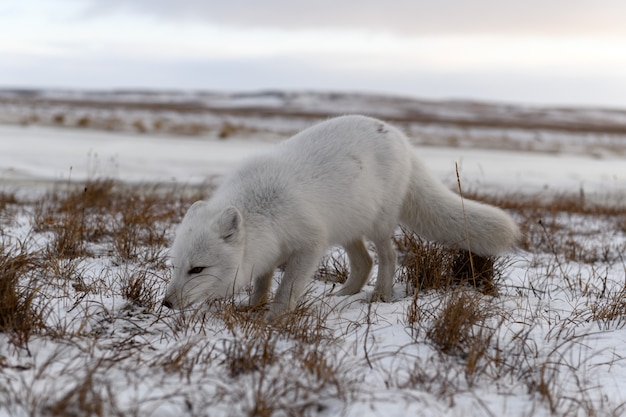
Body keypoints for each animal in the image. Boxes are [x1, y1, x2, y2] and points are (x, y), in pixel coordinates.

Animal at [161, 114, 516, 316]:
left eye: (197, 269)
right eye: (175, 266)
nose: (166, 303)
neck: (263, 210)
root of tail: (401, 137)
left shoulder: (310, 244)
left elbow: (286, 289)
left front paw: (274, 319)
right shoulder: (267, 251)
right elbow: (262, 283)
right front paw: (252, 307)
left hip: (377, 225)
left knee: (388, 257)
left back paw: (379, 296)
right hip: (347, 229)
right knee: (364, 262)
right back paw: (343, 295)